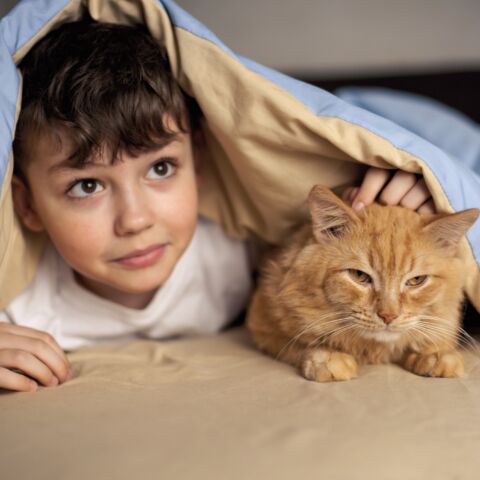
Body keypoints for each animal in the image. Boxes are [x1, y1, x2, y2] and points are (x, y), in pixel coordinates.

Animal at [248, 186, 480, 380]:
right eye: (359, 276)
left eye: (416, 280)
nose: (388, 316)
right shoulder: (263, 322)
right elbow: (300, 343)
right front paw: (328, 358)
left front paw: (436, 355)